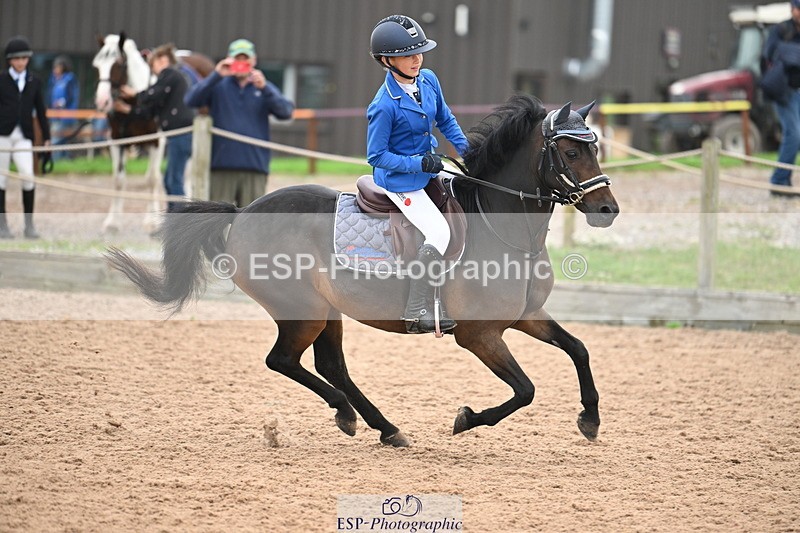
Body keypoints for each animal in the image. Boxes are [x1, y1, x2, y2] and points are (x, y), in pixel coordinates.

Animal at [106, 95, 620, 447]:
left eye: (595, 150)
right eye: (571, 154)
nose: (607, 209)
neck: (500, 222)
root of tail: (243, 211)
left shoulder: (526, 316)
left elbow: (579, 349)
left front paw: (591, 420)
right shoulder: (479, 334)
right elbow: (526, 390)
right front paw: (466, 419)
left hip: (326, 310)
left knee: (329, 364)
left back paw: (384, 427)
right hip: (303, 311)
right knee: (284, 361)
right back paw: (351, 415)